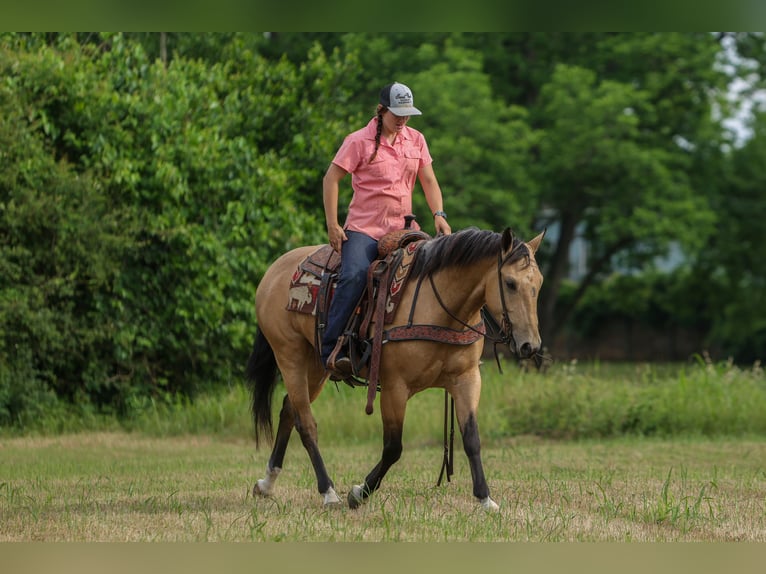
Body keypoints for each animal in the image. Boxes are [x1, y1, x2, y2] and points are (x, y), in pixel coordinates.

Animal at [245, 226, 545, 510]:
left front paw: (485, 498)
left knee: (289, 410)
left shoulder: (467, 379)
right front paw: (359, 493)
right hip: (290, 356)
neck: (439, 307)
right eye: (510, 283)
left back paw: (266, 483)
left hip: (316, 366)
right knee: (306, 424)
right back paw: (328, 492)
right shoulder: (394, 387)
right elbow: (393, 447)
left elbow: (472, 438)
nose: (530, 345)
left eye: (539, 283)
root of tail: (275, 270)